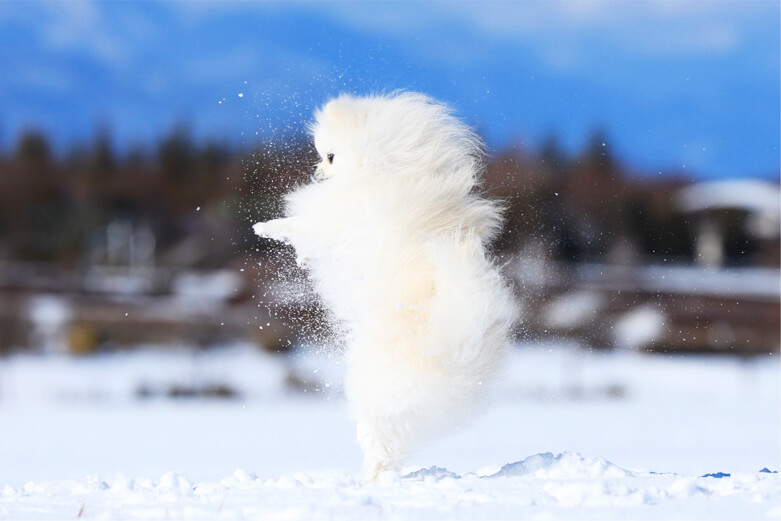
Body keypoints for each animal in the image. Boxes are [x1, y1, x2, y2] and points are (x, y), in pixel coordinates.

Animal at [253, 91, 516, 478]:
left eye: (329, 156)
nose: (317, 172)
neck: (381, 168)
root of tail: (454, 350)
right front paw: (299, 257)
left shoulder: (336, 222)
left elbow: (298, 226)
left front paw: (266, 228)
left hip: (373, 392)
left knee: (378, 442)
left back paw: (370, 480)